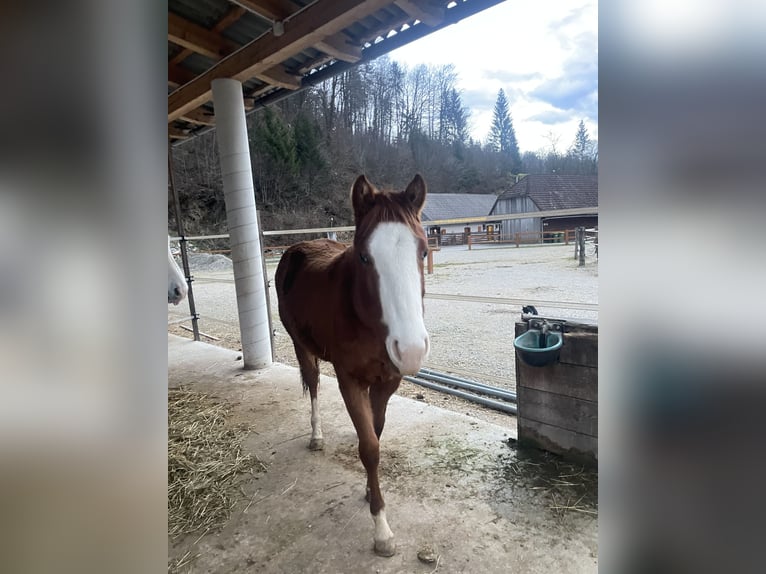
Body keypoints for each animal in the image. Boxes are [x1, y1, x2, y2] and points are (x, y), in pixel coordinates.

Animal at [276, 174, 432, 560]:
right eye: (364, 256)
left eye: (423, 251)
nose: (411, 350)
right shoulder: (350, 381)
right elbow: (369, 449)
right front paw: (381, 530)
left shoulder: (387, 382)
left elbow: (375, 432)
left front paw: (368, 490)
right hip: (302, 346)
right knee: (314, 384)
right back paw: (316, 436)